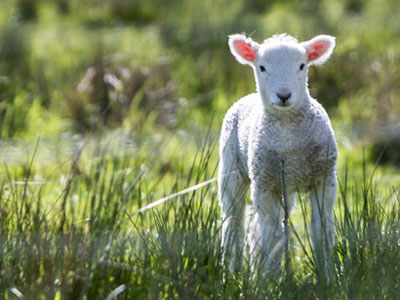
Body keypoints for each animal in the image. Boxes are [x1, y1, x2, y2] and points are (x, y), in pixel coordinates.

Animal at [219, 33, 338, 278]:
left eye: (302, 66)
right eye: (262, 67)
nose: (284, 95)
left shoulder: (324, 178)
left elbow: (321, 230)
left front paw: (327, 278)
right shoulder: (264, 184)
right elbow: (272, 235)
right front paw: (272, 280)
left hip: (285, 187)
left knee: (256, 227)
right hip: (231, 169)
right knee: (234, 224)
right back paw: (231, 273)